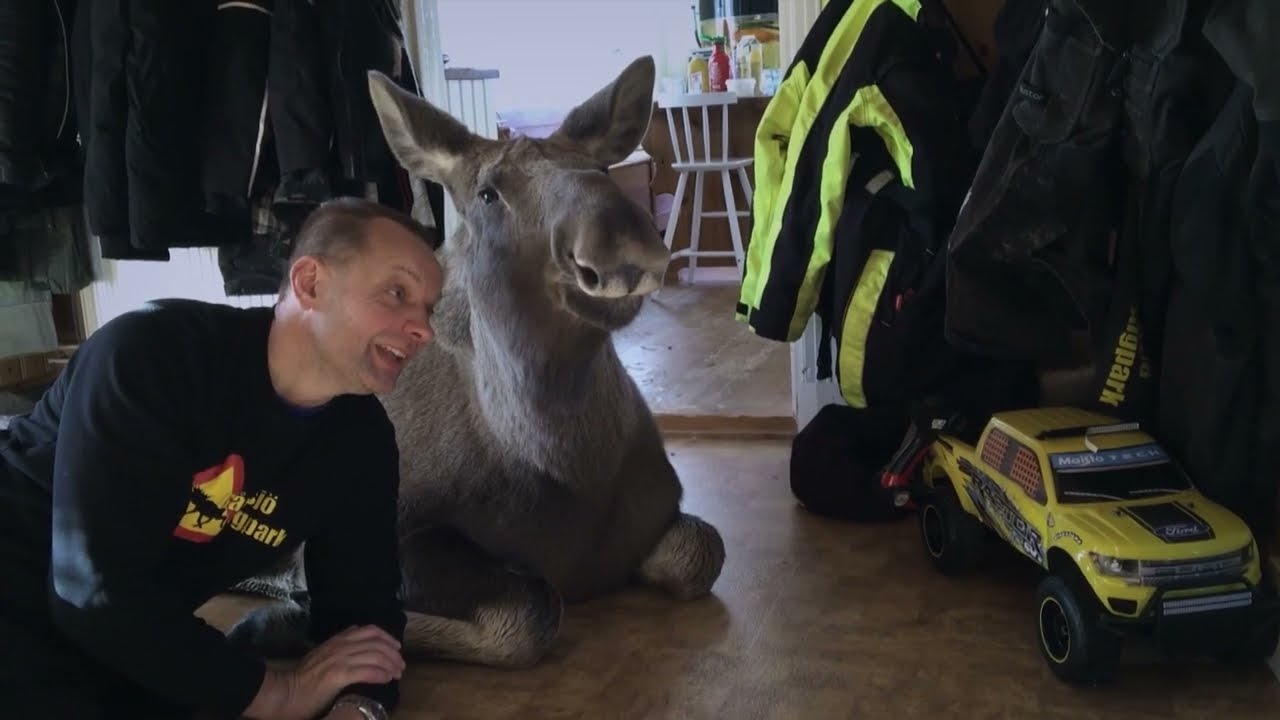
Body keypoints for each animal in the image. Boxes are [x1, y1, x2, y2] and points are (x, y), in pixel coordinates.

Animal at [226, 55, 726, 668]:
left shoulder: (667, 512)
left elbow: (701, 552)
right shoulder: (393, 527)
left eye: (601, 168)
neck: (570, 467)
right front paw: (288, 619)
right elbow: (530, 611)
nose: (623, 245)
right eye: (488, 194)